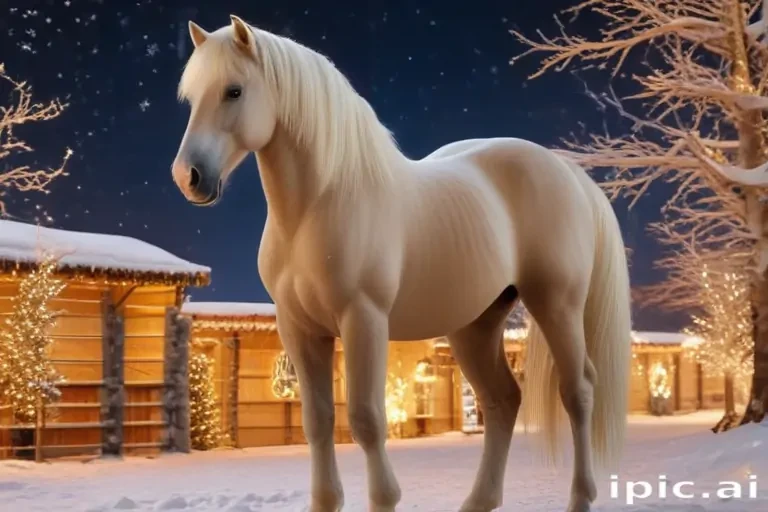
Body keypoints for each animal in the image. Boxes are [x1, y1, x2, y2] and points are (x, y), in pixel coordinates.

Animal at [171, 15, 632, 512]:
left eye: (234, 91)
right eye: (191, 98)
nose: (187, 177)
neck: (320, 203)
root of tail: (567, 172)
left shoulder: (363, 318)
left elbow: (367, 419)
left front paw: (385, 496)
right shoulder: (298, 328)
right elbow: (318, 420)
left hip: (556, 303)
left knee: (578, 391)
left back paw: (580, 495)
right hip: (476, 324)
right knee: (502, 400)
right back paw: (479, 499)